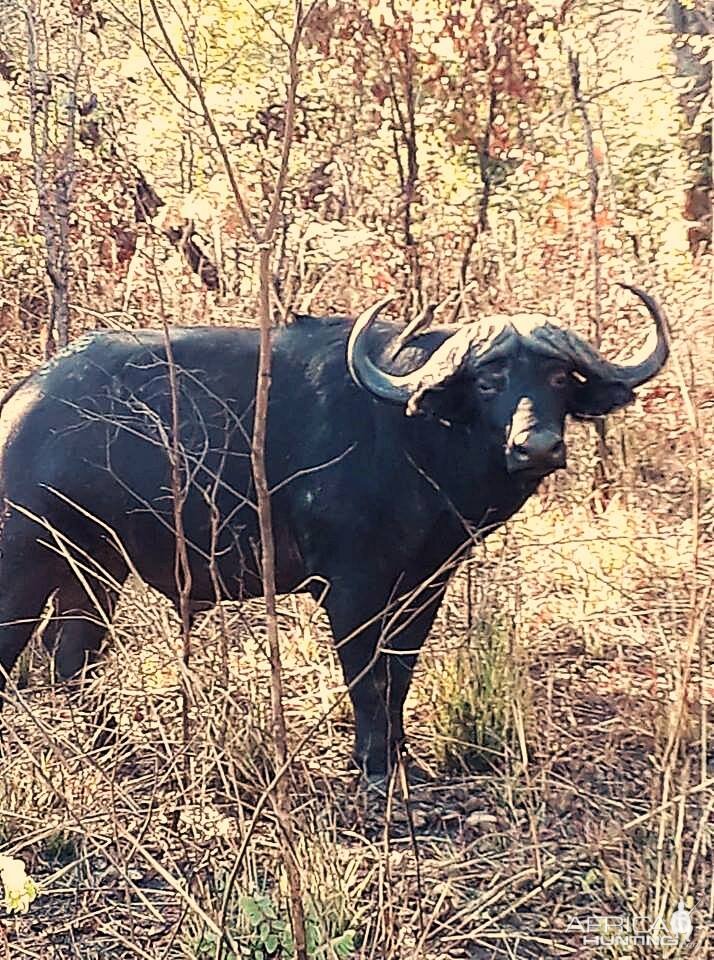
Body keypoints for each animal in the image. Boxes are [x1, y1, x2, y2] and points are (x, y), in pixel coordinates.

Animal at [0, 284, 668, 772]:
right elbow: (366, 677)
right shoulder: (351, 588)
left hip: (95, 569)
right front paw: (373, 766)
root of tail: (23, 400)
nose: (537, 446)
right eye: (488, 381)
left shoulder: (426, 582)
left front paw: (398, 755)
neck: (414, 440)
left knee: (71, 656)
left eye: (558, 378)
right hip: (26, 564)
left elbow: (400, 671)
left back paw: (112, 749)